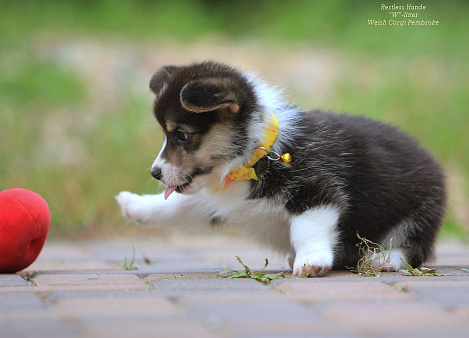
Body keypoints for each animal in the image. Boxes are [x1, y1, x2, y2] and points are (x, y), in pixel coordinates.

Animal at [115, 61, 444, 278]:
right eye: (166, 134)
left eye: (181, 135)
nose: (155, 173)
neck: (252, 157)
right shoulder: (220, 200)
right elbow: (178, 206)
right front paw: (134, 205)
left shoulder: (316, 189)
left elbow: (306, 228)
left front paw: (311, 262)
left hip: (420, 213)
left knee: (414, 248)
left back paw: (383, 259)